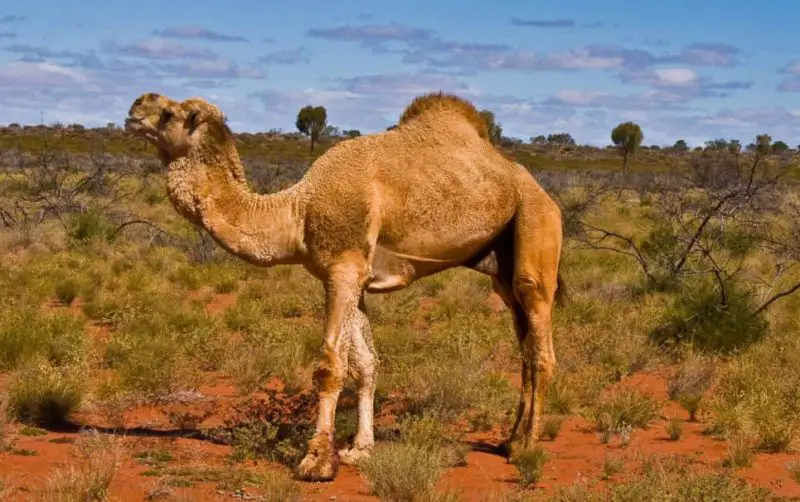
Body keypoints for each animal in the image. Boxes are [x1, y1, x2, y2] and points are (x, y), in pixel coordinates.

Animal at [124, 91, 565, 481]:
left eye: (169, 113)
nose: (135, 107)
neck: (297, 212)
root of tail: (539, 189)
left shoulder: (344, 270)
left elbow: (330, 366)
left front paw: (317, 461)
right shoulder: (346, 277)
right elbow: (366, 364)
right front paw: (359, 449)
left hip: (536, 225)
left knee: (540, 344)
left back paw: (527, 446)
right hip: (500, 263)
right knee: (524, 345)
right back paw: (509, 440)